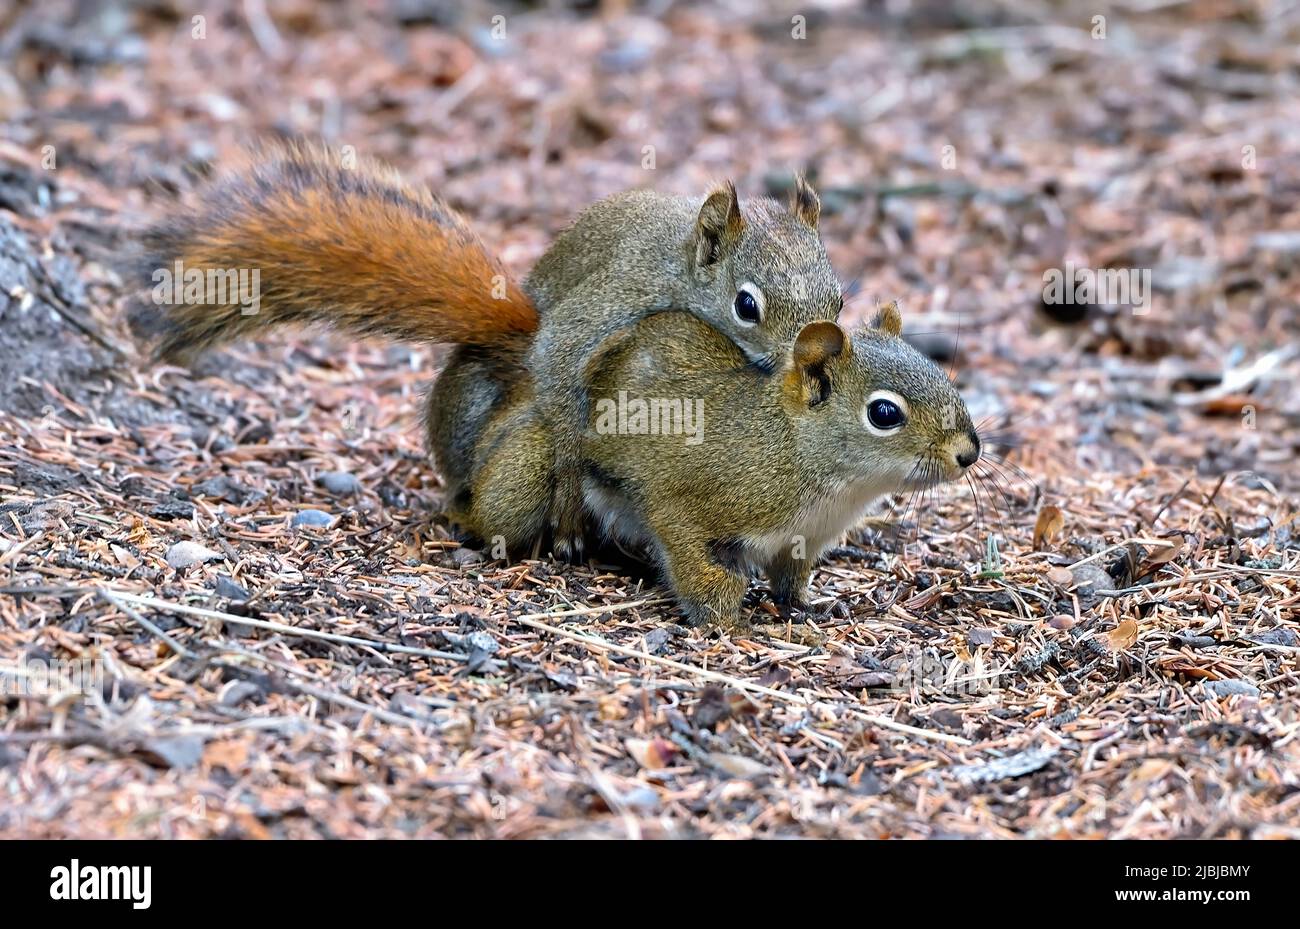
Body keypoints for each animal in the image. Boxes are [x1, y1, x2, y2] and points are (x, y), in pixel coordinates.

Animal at [131, 143, 981, 629]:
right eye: (884, 413)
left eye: (838, 298)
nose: (970, 453)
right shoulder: (688, 480)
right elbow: (677, 528)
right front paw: (719, 608)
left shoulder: (803, 536)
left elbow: (795, 576)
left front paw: (810, 602)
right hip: (514, 461)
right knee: (499, 490)